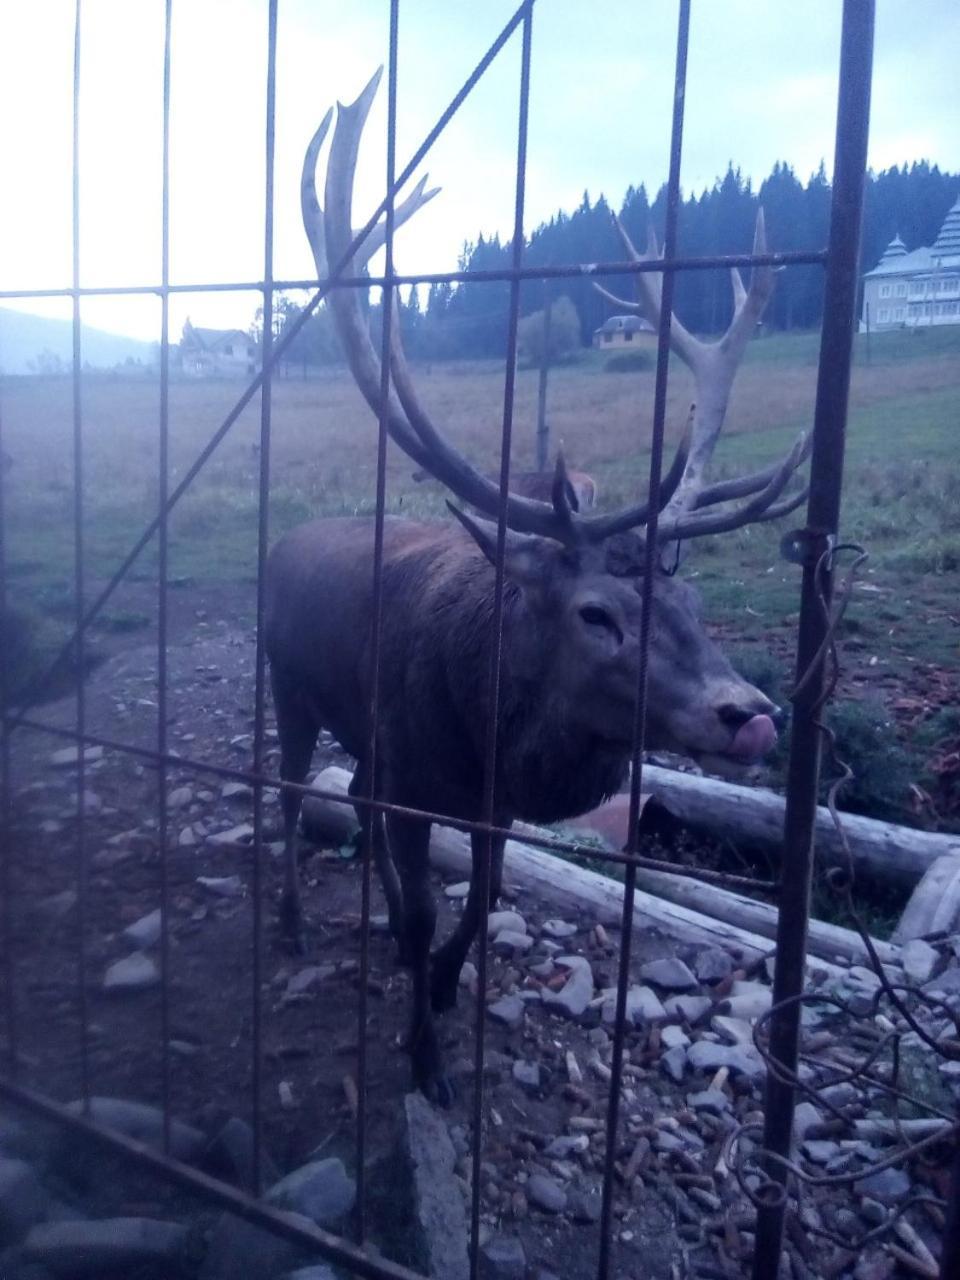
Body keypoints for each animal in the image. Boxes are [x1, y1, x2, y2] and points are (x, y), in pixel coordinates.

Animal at [264, 74, 814, 1105]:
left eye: (694, 607)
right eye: (597, 614)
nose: (752, 713)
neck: (482, 733)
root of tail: (287, 538)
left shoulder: (484, 799)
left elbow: (482, 896)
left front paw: (442, 987)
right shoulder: (416, 767)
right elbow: (429, 910)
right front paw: (426, 1062)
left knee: (353, 795)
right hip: (287, 687)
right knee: (286, 793)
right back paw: (283, 923)